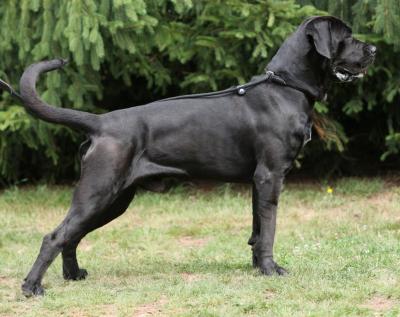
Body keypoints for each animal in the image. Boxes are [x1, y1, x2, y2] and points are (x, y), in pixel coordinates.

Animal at [0, 15, 376, 296]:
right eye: (347, 36)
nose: (374, 48)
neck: (286, 86)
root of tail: (101, 121)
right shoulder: (270, 175)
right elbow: (268, 229)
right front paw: (271, 269)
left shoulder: (258, 182)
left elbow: (257, 228)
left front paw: (257, 266)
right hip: (98, 190)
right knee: (55, 235)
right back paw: (32, 287)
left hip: (114, 199)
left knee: (71, 236)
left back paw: (73, 275)